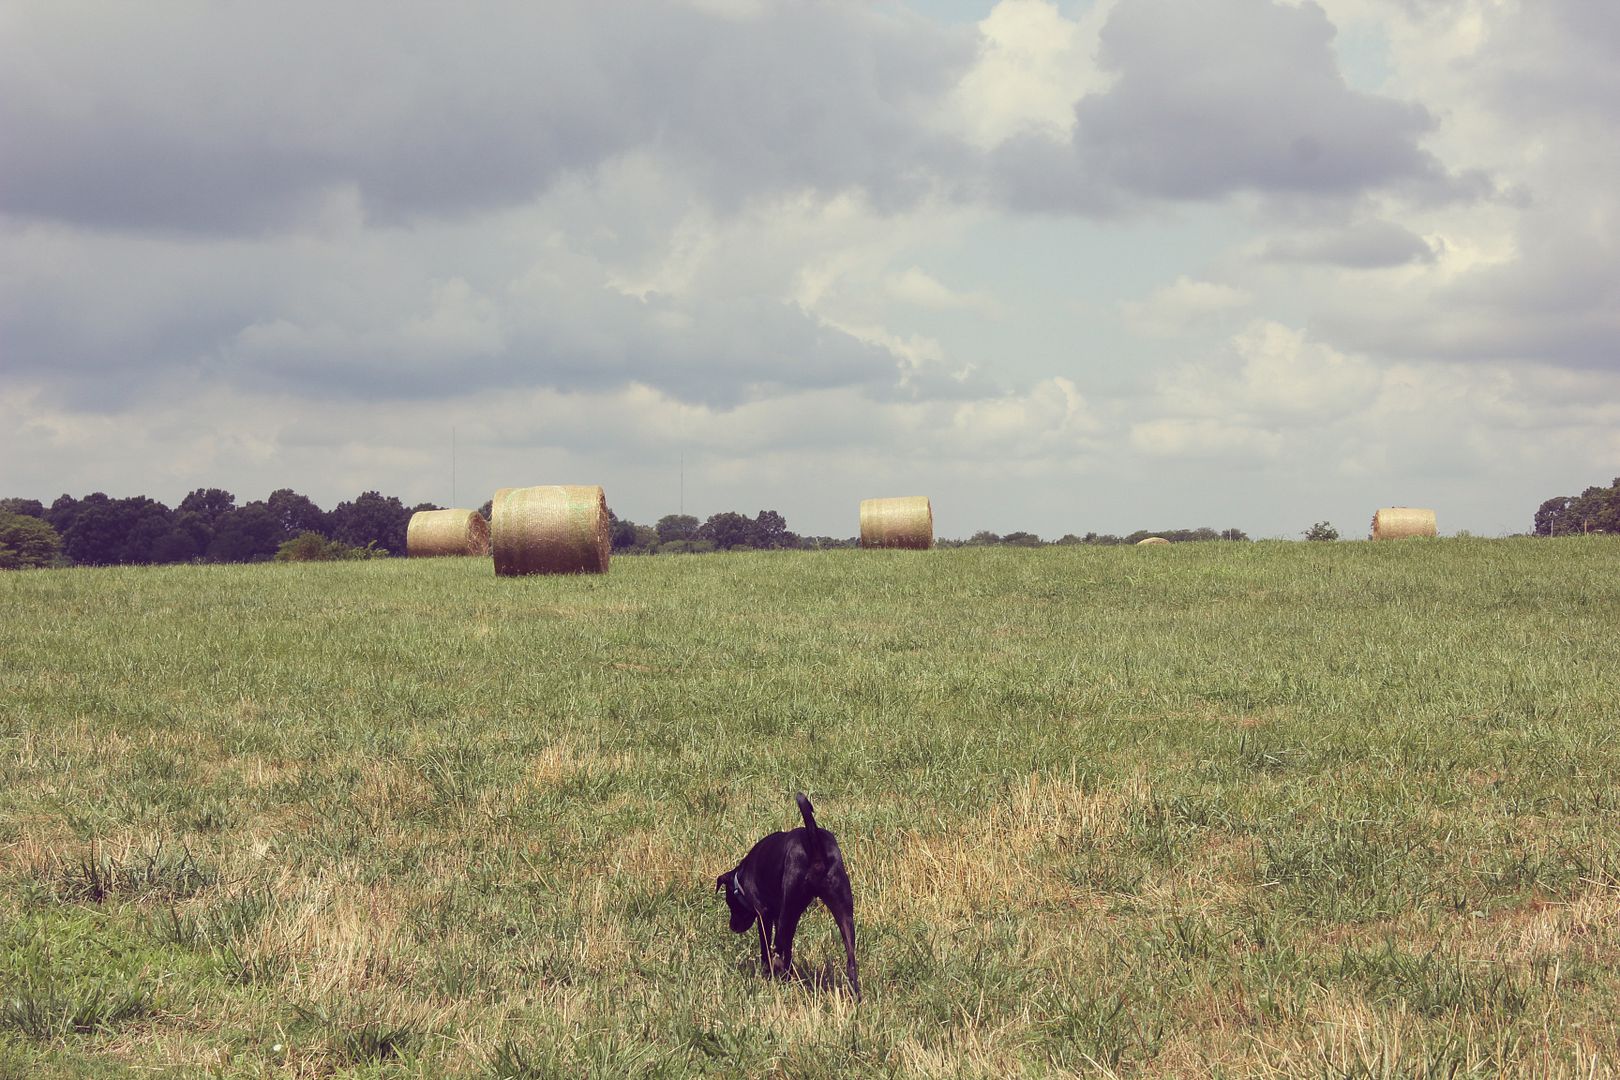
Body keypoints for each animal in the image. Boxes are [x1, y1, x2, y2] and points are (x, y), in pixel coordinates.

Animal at [712, 790, 861, 1003]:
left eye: (729, 903)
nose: (733, 926)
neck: (740, 879)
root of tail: (814, 843)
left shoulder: (764, 914)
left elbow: (766, 946)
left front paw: (767, 971)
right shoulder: (784, 914)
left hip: (789, 906)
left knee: (779, 944)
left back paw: (777, 972)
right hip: (841, 911)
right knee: (850, 960)